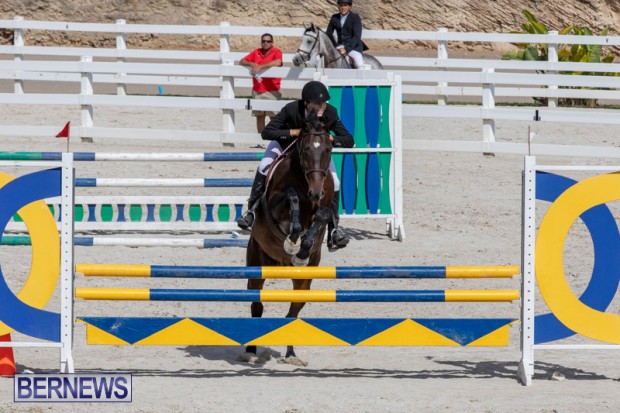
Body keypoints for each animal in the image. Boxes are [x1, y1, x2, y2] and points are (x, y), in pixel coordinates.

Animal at [243, 112, 334, 366]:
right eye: (305, 149)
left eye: (328, 149)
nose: (316, 192)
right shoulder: (276, 203)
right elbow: (291, 197)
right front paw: (293, 235)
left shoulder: (324, 205)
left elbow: (323, 216)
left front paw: (302, 248)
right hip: (257, 264)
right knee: (257, 305)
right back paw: (250, 352)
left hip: (304, 280)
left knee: (294, 311)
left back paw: (291, 355)